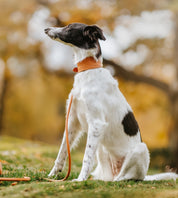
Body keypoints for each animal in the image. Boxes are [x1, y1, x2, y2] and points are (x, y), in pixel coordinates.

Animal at [44, 22, 177, 182]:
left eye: (69, 28)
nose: (46, 29)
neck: (88, 72)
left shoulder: (96, 123)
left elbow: (86, 157)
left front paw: (80, 179)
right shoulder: (72, 121)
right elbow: (62, 152)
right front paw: (52, 176)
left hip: (141, 149)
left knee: (127, 177)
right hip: (102, 149)